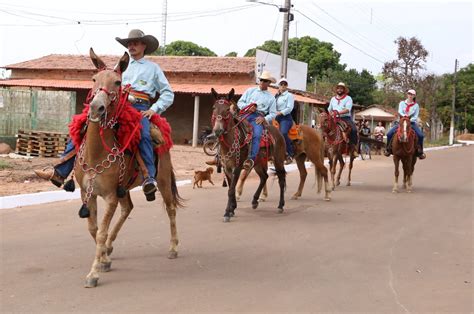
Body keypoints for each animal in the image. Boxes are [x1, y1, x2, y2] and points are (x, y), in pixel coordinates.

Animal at [75, 48, 182, 288]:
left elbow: (101, 231)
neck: (96, 155)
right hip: (123, 189)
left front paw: (93, 273)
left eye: (117, 82)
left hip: (162, 181)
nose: (96, 108)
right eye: (94, 79)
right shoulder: (88, 194)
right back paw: (109, 248)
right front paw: (104, 259)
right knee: (128, 208)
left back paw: (173, 247)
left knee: (171, 209)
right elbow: (93, 229)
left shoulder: (110, 196)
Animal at [210, 87, 286, 222]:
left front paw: (227, 213)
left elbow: (231, 189)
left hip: (278, 160)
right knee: (264, 177)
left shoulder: (237, 167)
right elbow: (231, 187)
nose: (218, 130)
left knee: (281, 180)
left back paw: (280, 206)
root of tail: (279, 133)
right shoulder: (226, 167)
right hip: (258, 163)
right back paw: (255, 201)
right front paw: (232, 209)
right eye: (214, 108)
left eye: (227, 110)